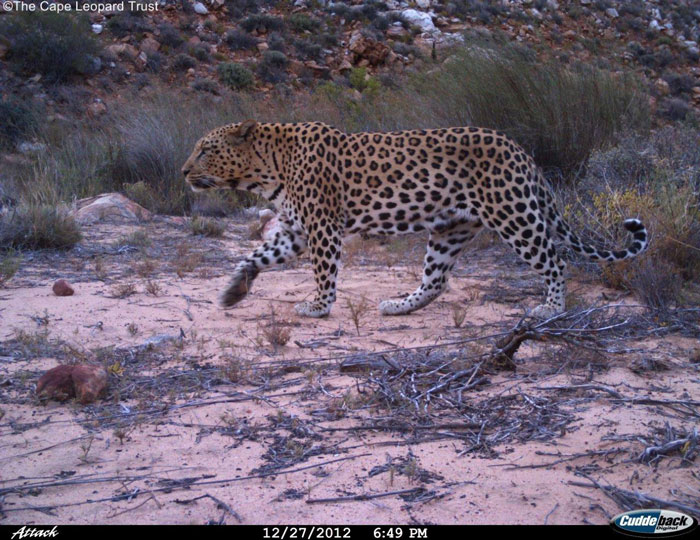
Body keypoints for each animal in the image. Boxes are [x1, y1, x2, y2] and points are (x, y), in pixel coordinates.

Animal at [182, 120, 648, 319]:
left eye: (205, 149)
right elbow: (256, 256)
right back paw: (400, 305)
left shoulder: (322, 227)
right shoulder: (297, 229)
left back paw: (550, 308)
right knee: (436, 279)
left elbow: (324, 272)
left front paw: (318, 307)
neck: (266, 170)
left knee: (556, 260)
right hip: (449, 228)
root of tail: (521, 151)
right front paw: (232, 292)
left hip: (513, 214)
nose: (184, 171)